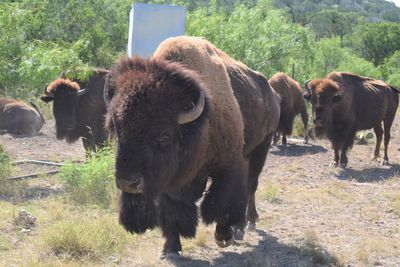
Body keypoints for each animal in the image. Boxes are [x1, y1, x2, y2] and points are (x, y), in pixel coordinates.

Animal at [103, 36, 282, 258]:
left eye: (164, 136)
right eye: (115, 130)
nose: (128, 183)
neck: (197, 127)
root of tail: (272, 92)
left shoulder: (229, 165)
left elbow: (221, 202)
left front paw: (223, 237)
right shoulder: (167, 181)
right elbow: (171, 210)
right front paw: (171, 248)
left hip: (262, 146)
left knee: (251, 186)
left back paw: (244, 226)